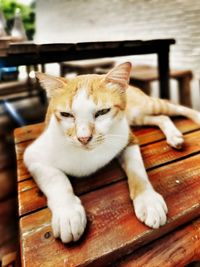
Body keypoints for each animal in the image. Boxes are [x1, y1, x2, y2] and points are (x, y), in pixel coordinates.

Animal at [24, 62, 200, 245]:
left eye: (102, 112)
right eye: (66, 115)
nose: (83, 138)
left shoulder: (129, 140)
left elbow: (137, 170)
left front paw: (148, 200)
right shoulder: (33, 156)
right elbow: (56, 179)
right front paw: (68, 213)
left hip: (145, 106)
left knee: (172, 107)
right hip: (137, 117)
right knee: (162, 117)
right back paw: (174, 136)